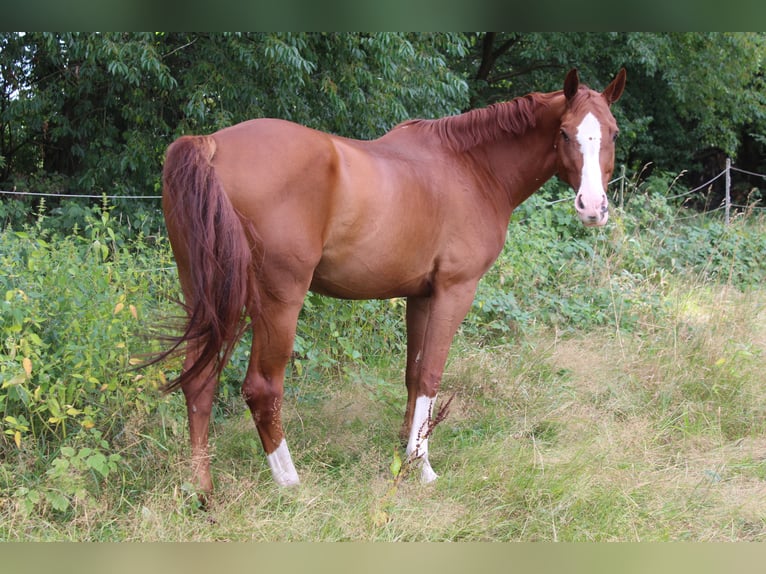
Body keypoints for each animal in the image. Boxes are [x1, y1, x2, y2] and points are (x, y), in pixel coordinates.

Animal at [158, 68, 626, 498]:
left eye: (612, 133)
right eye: (564, 133)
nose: (592, 207)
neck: (471, 167)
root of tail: (210, 145)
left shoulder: (420, 296)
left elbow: (413, 374)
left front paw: (406, 450)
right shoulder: (455, 290)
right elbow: (432, 374)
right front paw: (422, 465)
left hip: (206, 297)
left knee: (199, 383)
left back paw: (202, 491)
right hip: (277, 301)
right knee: (262, 388)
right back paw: (289, 481)